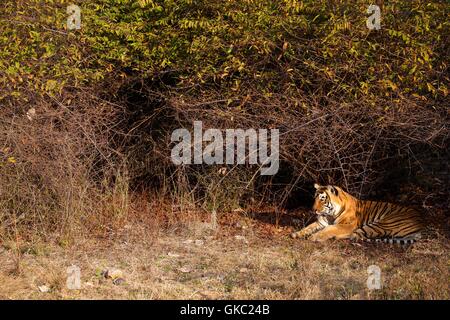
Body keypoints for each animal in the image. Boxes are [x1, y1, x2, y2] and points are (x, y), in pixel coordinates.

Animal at [290, 184, 424, 244]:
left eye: (322, 199)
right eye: (315, 198)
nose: (313, 210)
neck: (330, 214)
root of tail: (421, 222)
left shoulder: (347, 225)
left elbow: (330, 229)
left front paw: (315, 237)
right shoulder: (321, 222)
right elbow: (308, 227)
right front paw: (296, 234)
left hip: (382, 223)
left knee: (354, 235)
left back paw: (335, 238)